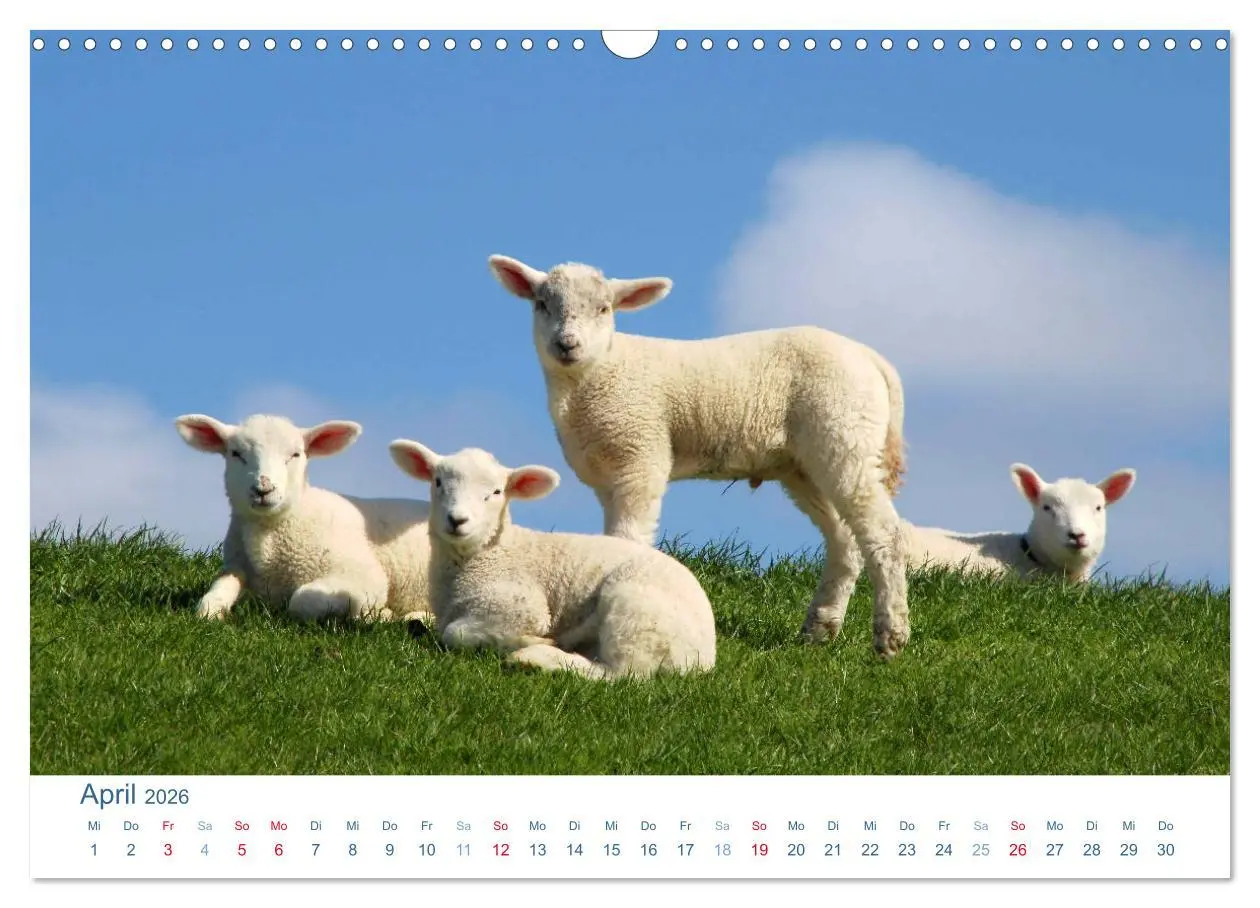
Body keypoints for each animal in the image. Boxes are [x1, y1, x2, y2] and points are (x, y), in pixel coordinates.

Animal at [175, 413, 434, 624]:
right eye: (236, 454)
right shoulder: (236, 566)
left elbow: (301, 600)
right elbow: (213, 595)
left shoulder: (363, 575)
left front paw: (381, 614)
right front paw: (213, 612)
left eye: (295, 454)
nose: (263, 489)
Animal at [388, 440, 717, 681]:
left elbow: (453, 633)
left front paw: (523, 641)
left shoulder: (519, 606)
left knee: (619, 674)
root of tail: (704, 656)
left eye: (496, 492)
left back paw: (536, 658)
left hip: (634, 614)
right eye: (438, 482)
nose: (457, 520)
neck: (486, 555)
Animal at [486, 254, 910, 657]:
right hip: (805, 461)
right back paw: (820, 628)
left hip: (844, 433)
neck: (599, 372)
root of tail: (870, 358)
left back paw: (890, 634)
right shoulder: (608, 472)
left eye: (604, 309)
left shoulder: (640, 455)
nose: (567, 345)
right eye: (542, 304)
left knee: (884, 532)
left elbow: (629, 536)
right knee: (844, 537)